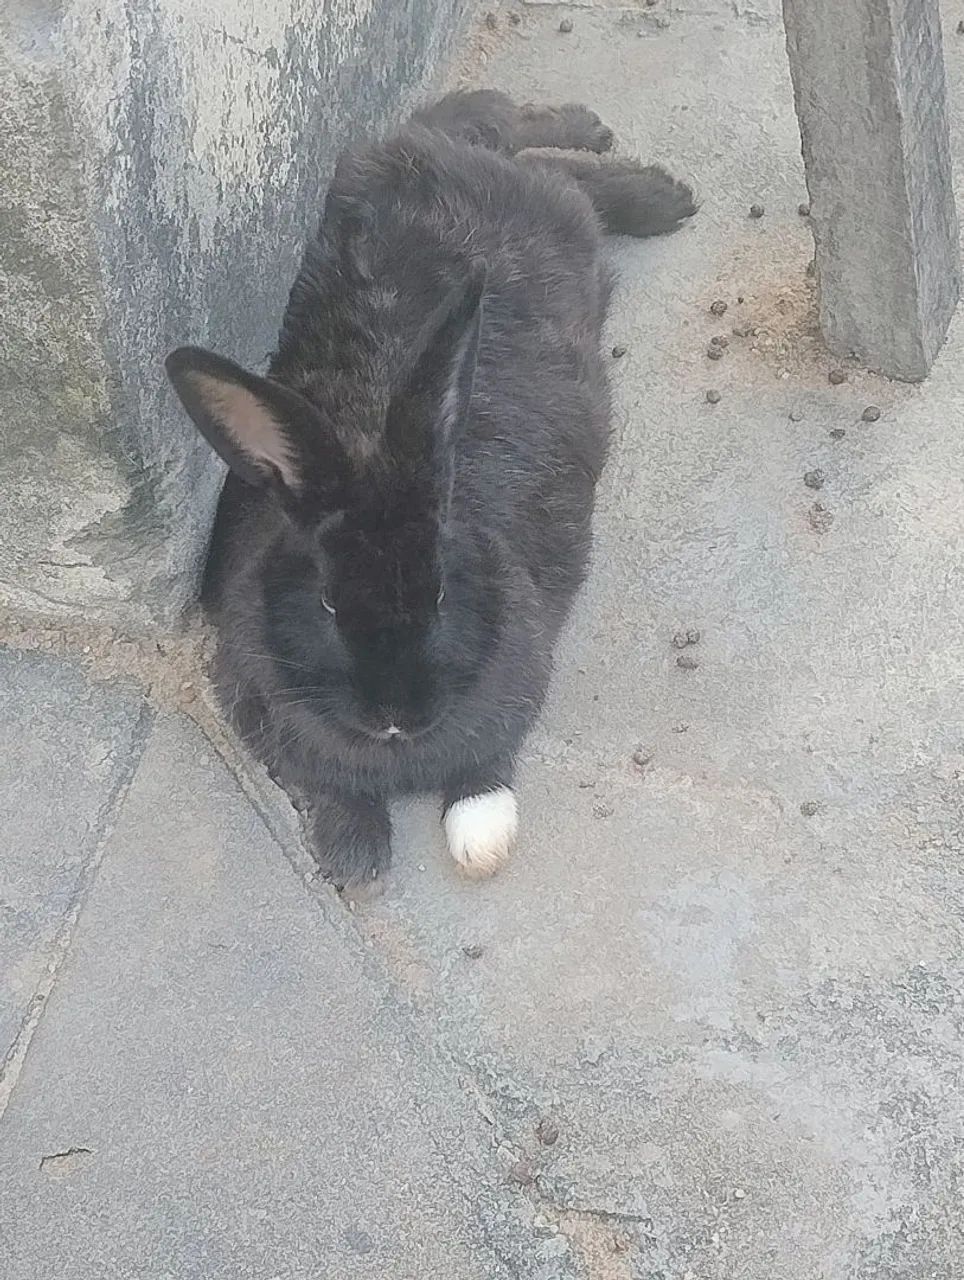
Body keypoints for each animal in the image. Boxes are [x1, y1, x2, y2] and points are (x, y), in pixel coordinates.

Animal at [166, 90, 696, 892]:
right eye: (328, 603)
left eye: (440, 592)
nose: (397, 715)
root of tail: (411, 159)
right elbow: (331, 788)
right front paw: (354, 858)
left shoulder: (514, 691)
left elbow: (483, 776)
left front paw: (477, 837)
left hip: (533, 201)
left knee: (523, 143)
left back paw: (654, 188)